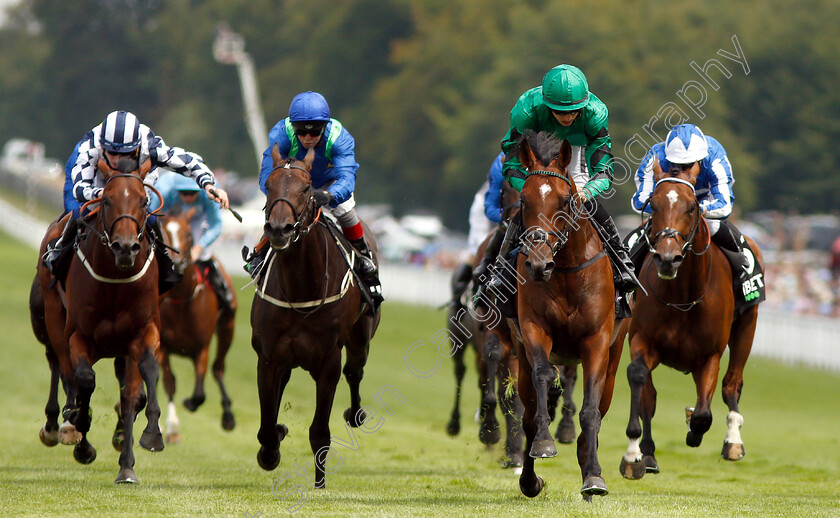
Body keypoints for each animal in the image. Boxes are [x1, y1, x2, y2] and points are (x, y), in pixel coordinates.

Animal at [37, 156, 165, 486]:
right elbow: (85, 380)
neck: (115, 281)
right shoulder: (78, 336)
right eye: (106, 200)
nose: (125, 246)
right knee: (66, 370)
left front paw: (147, 440)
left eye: (144, 201)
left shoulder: (143, 332)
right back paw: (69, 424)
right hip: (53, 316)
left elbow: (142, 381)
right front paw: (80, 431)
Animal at [158, 209, 238, 444]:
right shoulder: (163, 347)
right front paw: (172, 428)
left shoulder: (201, 348)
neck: (182, 299)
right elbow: (169, 382)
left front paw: (190, 403)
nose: (176, 263)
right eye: (164, 231)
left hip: (228, 327)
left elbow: (200, 393)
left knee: (218, 368)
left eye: (187, 234)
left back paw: (228, 415)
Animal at [249, 144, 380, 490]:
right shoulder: (269, 356)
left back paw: (356, 414)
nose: (279, 229)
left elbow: (320, 430)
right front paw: (272, 448)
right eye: (269, 185)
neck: (301, 286)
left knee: (355, 372)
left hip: (361, 338)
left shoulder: (328, 360)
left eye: (306, 188)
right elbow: (266, 425)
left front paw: (320, 482)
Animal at [506, 132, 632, 502]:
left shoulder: (597, 340)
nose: (537, 263)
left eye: (564, 201)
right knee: (531, 409)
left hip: (614, 359)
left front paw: (594, 477)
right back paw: (530, 479)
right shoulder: (534, 330)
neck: (563, 272)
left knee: (599, 409)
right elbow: (543, 379)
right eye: (524, 200)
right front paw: (544, 445)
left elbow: (590, 411)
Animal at [616, 165, 760, 482]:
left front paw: (695, 428)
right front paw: (634, 455)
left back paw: (733, 441)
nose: (668, 258)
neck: (683, 296)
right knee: (651, 396)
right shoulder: (642, 340)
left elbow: (704, 415)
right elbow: (639, 380)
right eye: (653, 204)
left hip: (747, 323)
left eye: (692, 206)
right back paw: (649, 453)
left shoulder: (709, 355)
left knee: (732, 383)